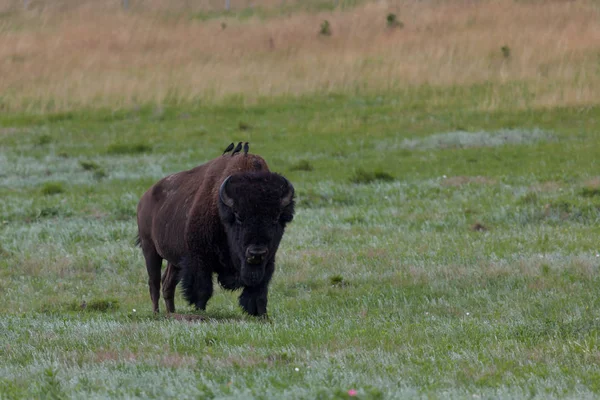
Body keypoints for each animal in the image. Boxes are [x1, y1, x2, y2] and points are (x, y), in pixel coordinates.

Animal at [136, 145, 296, 318]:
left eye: (276, 218)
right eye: (238, 216)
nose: (256, 252)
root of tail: (144, 199)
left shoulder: (267, 263)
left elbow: (259, 292)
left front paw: (262, 315)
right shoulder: (199, 260)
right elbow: (202, 290)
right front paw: (200, 312)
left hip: (174, 261)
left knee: (167, 284)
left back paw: (171, 313)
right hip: (150, 250)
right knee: (154, 283)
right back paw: (156, 313)